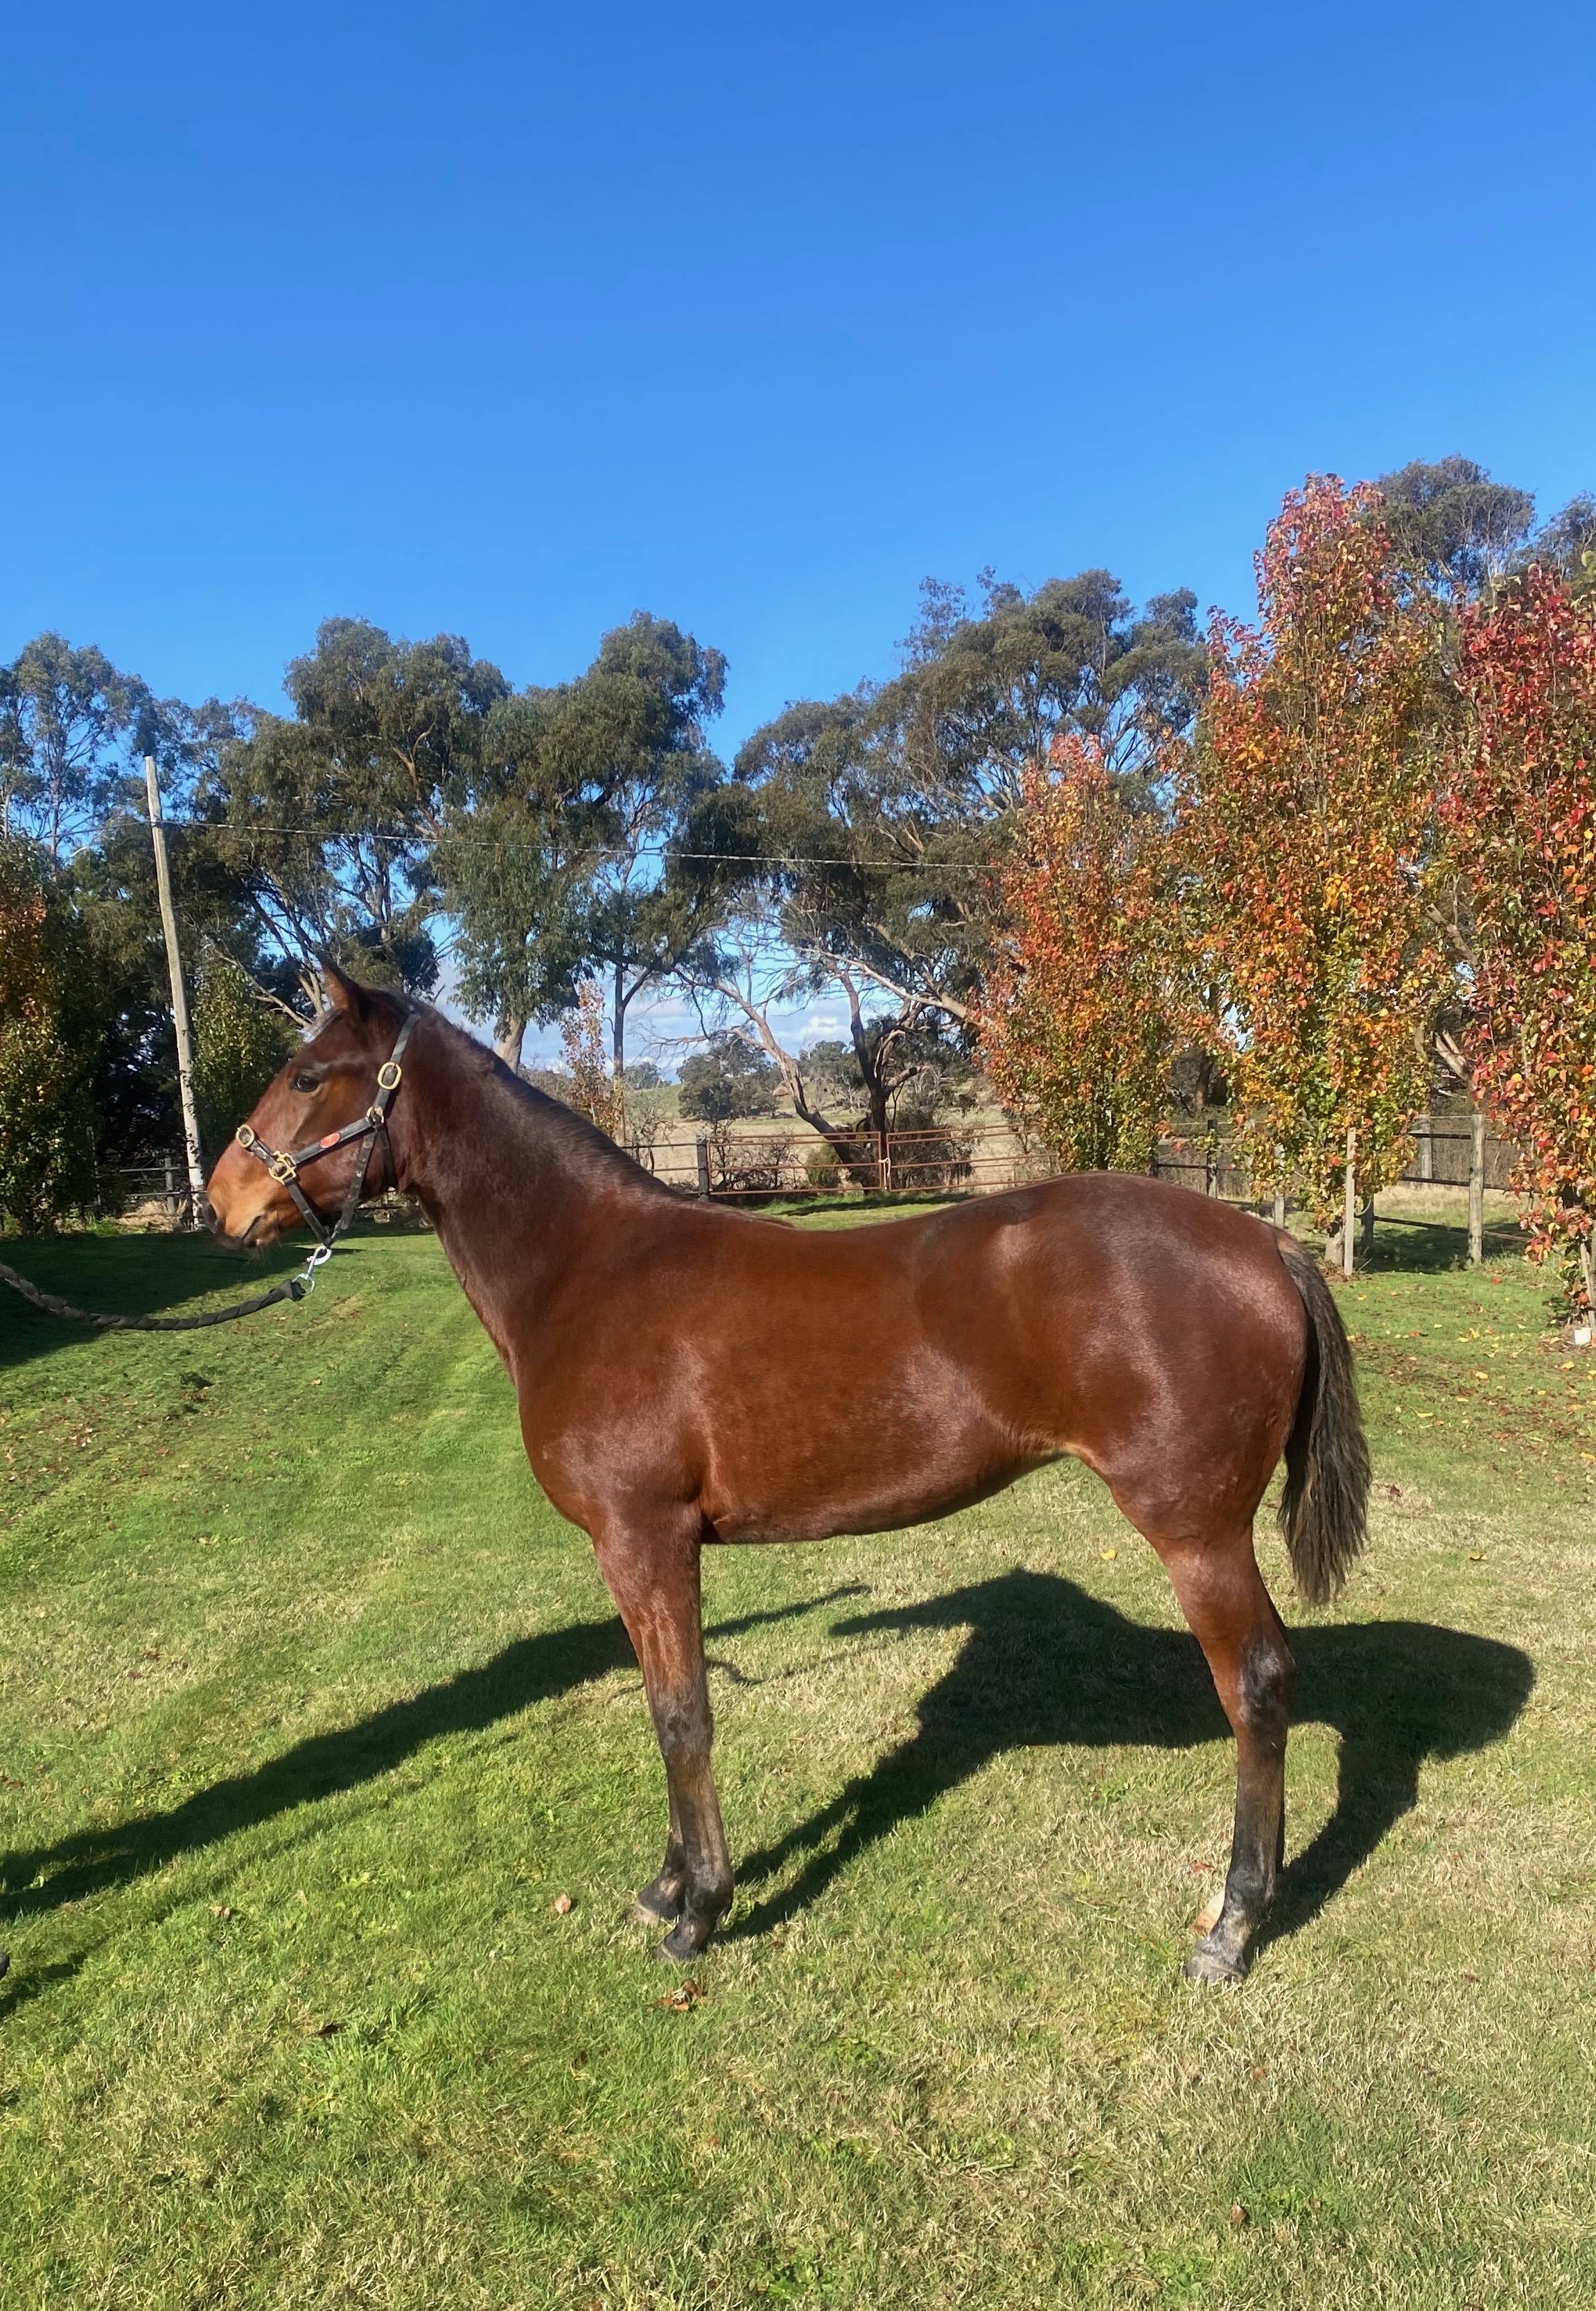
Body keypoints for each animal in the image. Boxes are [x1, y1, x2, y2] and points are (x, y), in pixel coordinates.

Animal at [205, 966, 1370, 1985]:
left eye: (308, 1076)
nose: (220, 1199)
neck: (584, 1270)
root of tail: (1267, 1247)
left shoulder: (645, 1540)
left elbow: (682, 1716)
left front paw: (698, 1913)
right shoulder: (635, 1553)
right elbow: (663, 1703)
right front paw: (665, 1888)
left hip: (1195, 1534)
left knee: (1254, 1687)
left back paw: (1229, 1928)